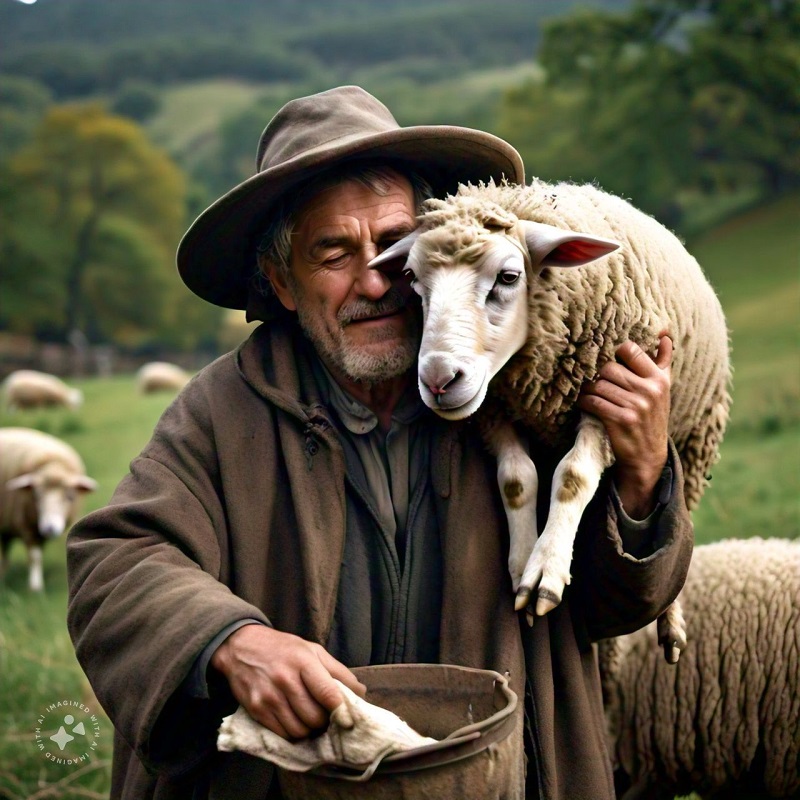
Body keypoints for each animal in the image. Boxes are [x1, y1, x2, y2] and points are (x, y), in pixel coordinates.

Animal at [0, 428, 96, 592]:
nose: (49, 528)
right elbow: (35, 557)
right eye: (36, 495)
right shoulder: (26, 526)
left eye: (70, 496)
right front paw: (35, 587)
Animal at [368, 181, 732, 664]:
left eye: (508, 277)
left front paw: (545, 570)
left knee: (680, 511)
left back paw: (671, 624)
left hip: (696, 439)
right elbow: (516, 480)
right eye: (411, 278)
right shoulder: (495, 411)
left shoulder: (608, 400)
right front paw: (523, 562)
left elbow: (573, 475)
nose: (439, 380)